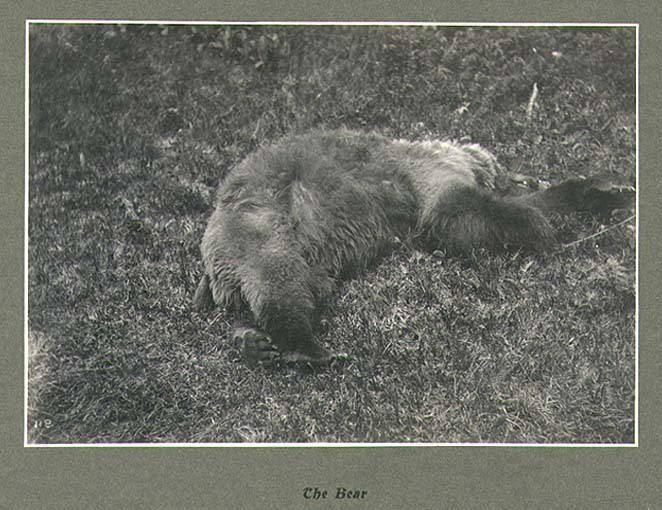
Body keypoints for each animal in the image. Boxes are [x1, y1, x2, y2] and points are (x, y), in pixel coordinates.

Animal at [193, 129, 640, 364]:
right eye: (514, 173)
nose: (525, 176)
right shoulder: (425, 175)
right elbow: (461, 217)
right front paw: (550, 221)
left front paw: (601, 190)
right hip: (263, 227)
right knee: (277, 283)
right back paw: (307, 350)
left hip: (302, 260)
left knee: (287, 291)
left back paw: (253, 341)